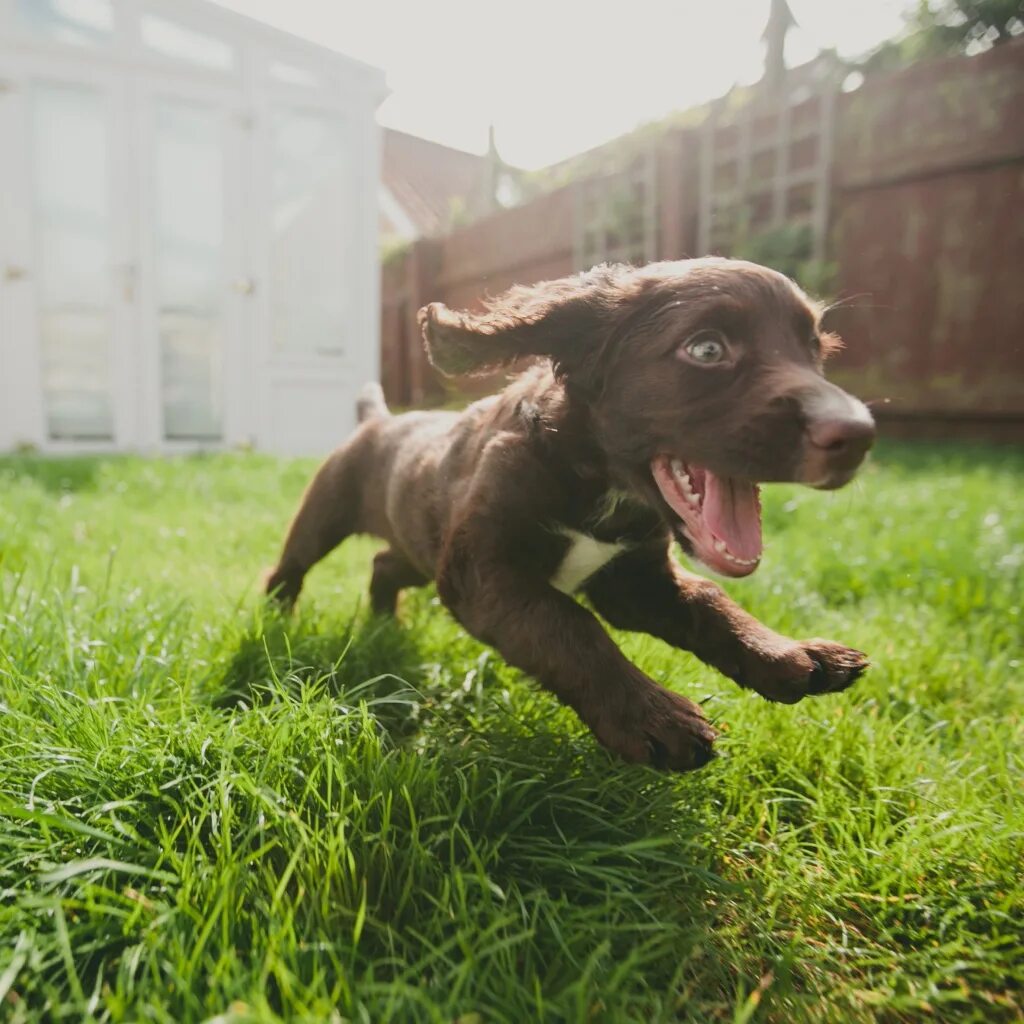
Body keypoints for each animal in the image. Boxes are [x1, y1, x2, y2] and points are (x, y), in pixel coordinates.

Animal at [264, 260, 872, 770]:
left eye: (816, 351)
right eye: (706, 350)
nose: (860, 434)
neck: (599, 487)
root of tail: (378, 419)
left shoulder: (635, 580)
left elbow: (710, 601)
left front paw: (788, 654)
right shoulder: (483, 572)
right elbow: (569, 625)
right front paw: (654, 716)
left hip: (421, 548)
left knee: (384, 565)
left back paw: (384, 623)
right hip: (326, 516)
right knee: (289, 568)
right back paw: (277, 623)